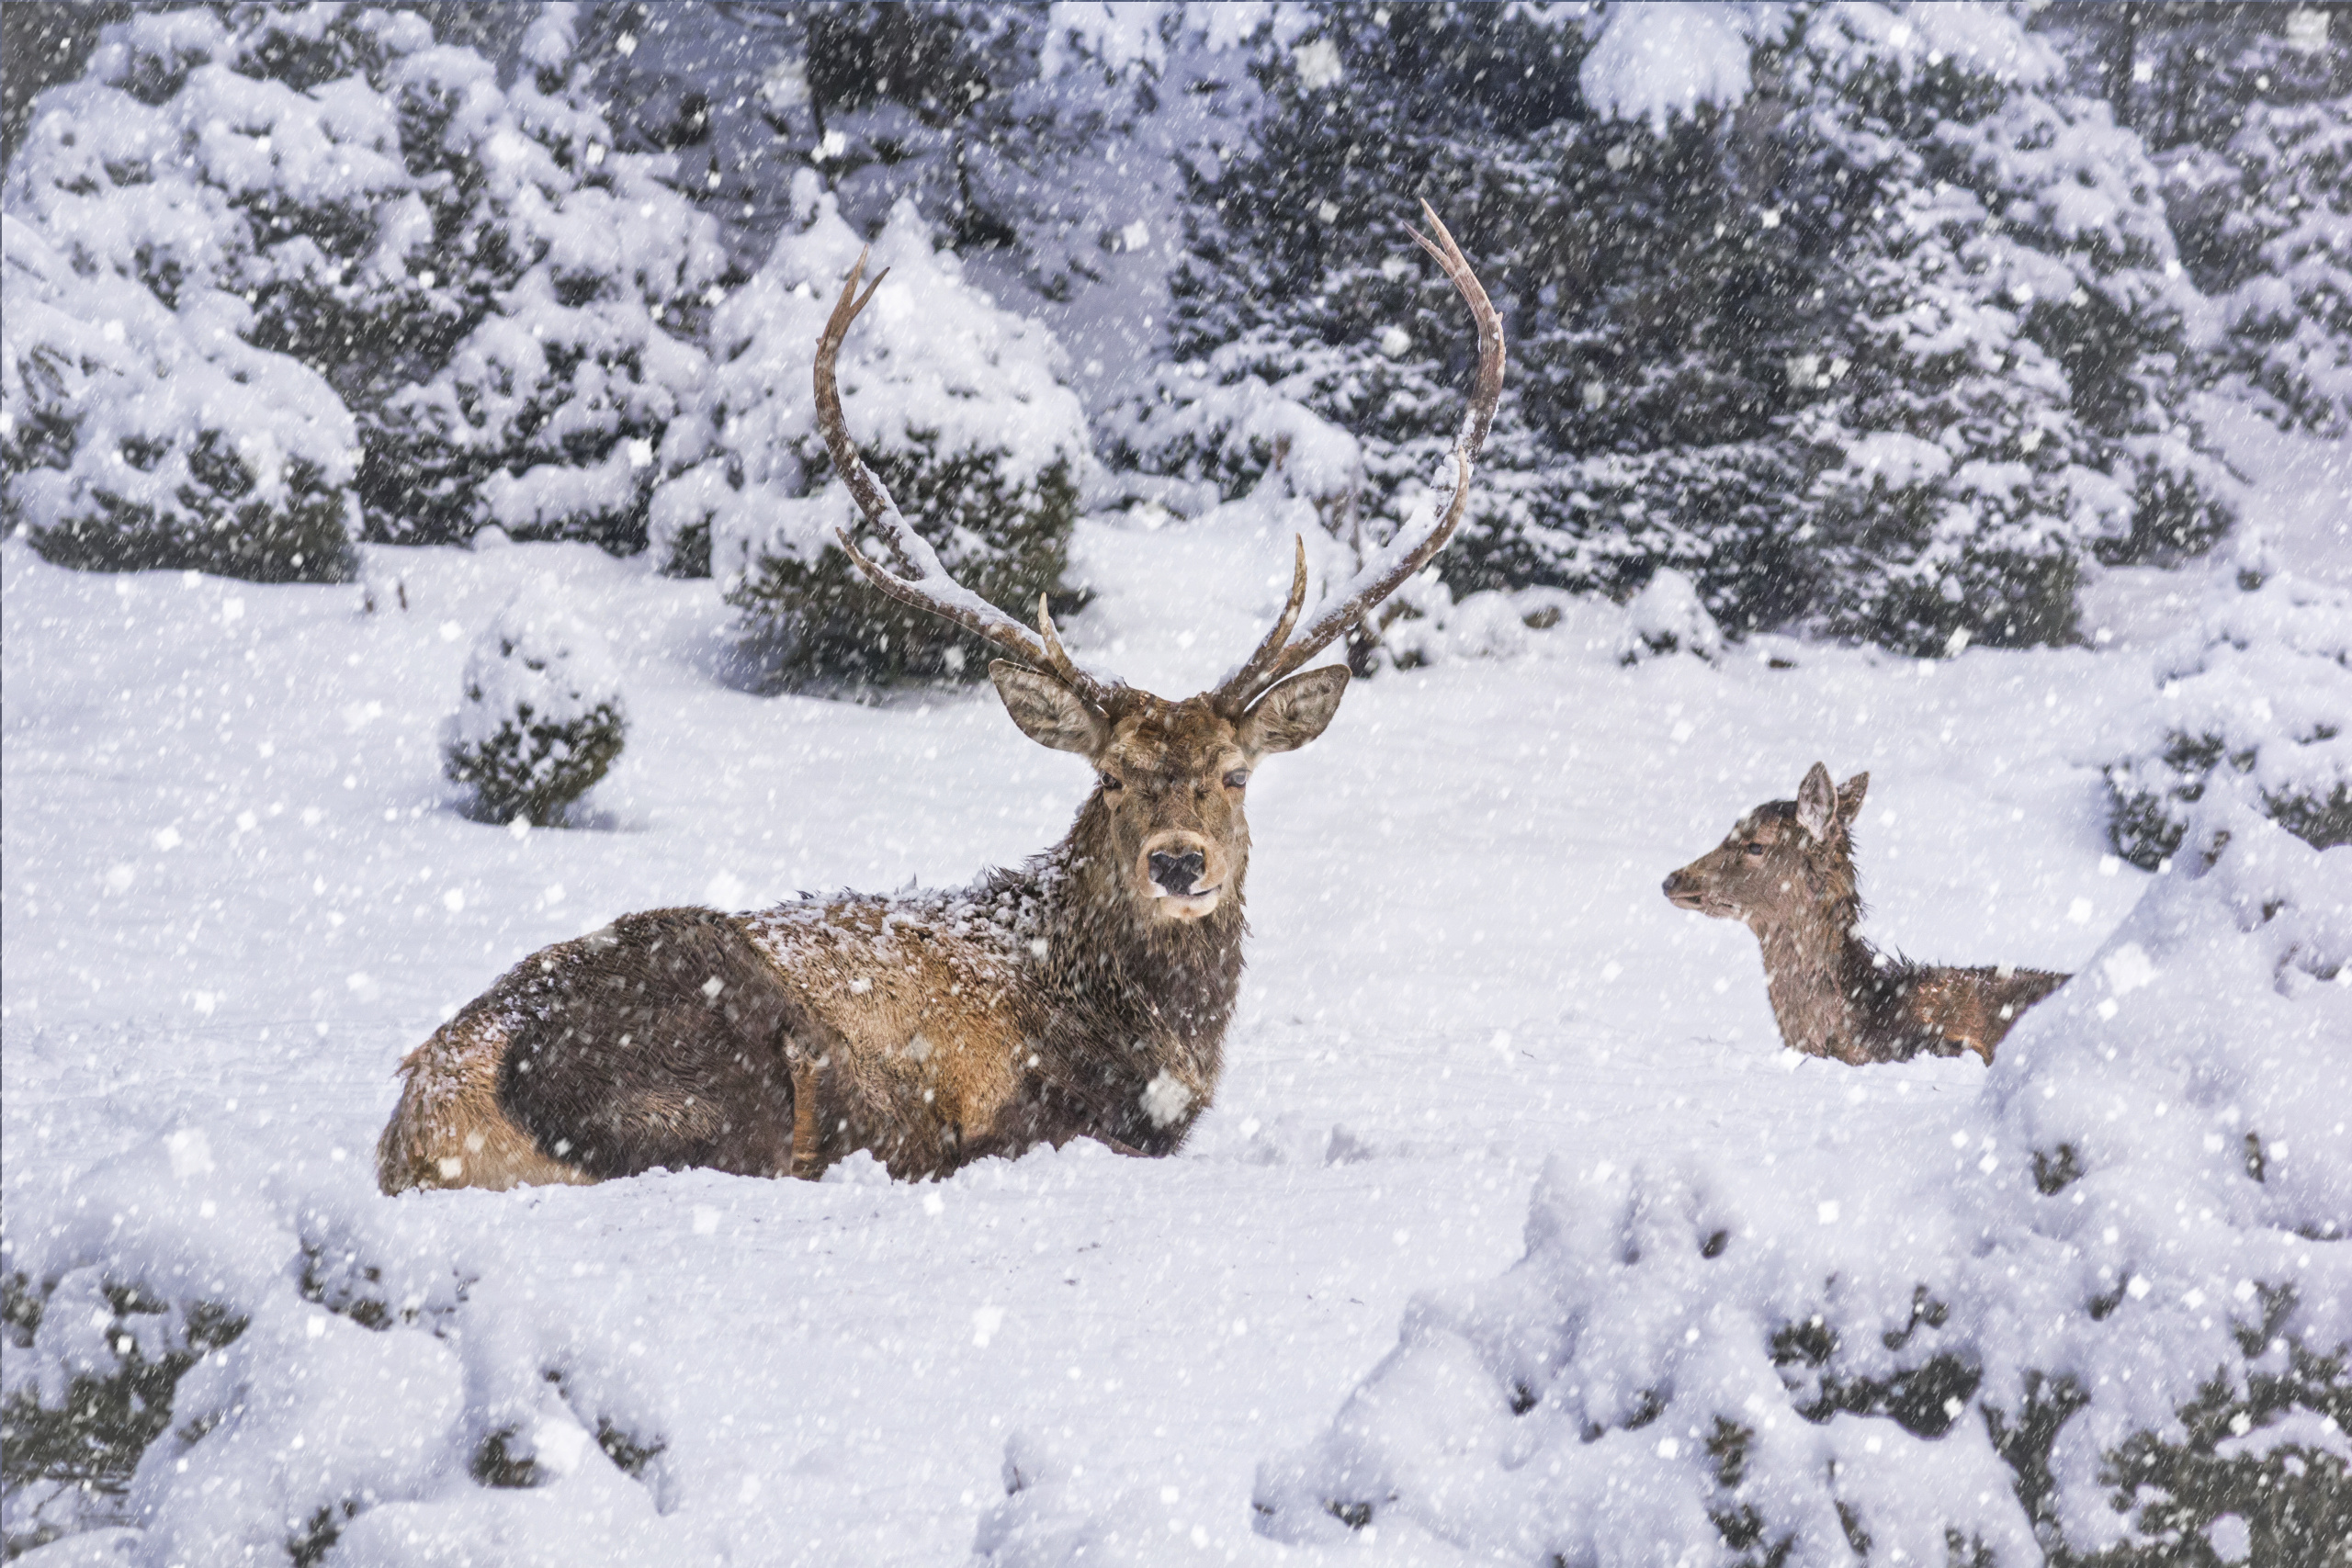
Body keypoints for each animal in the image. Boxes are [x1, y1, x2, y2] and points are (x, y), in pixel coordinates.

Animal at [371, 205, 1505, 1189]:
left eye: (1233, 775)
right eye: (1112, 776)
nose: (1179, 863)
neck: (1144, 1037)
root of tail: (424, 1123)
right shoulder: (1017, 1117)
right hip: (715, 1049)